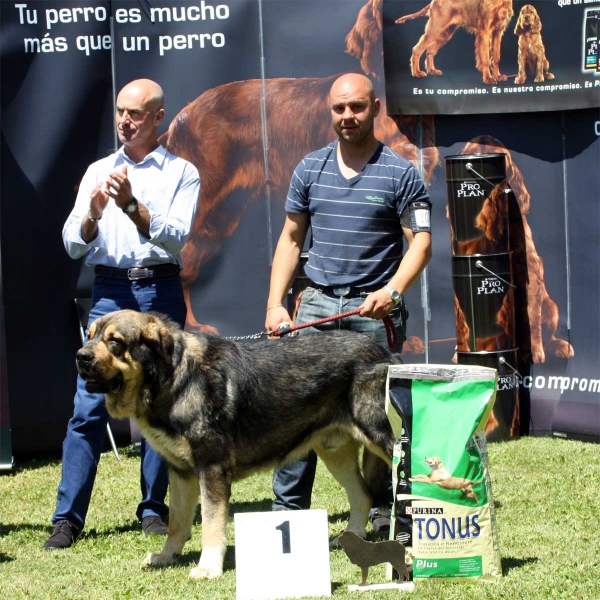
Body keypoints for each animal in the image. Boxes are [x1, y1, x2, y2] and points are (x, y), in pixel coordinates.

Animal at [75, 308, 398, 580]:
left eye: (115, 341)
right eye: (89, 335)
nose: (81, 356)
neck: (174, 378)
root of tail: (383, 352)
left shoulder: (212, 468)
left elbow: (211, 523)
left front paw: (208, 567)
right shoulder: (180, 472)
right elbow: (177, 522)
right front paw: (167, 557)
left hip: (382, 439)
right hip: (334, 452)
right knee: (362, 495)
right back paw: (351, 538)